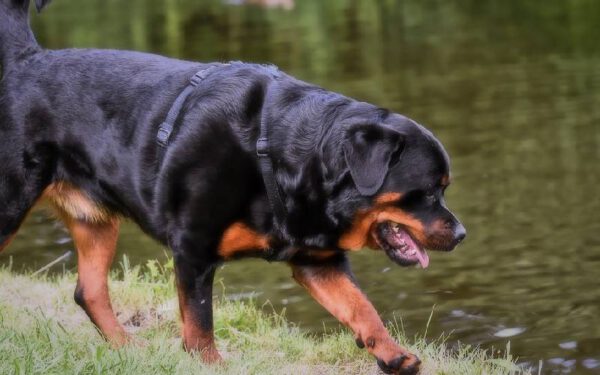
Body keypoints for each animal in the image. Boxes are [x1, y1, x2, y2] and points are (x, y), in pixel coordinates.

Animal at [0, 1, 464, 374]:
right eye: (428, 191)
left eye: (443, 189)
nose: (461, 233)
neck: (282, 155)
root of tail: (28, 60)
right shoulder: (193, 249)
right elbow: (200, 323)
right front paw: (209, 364)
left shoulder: (319, 260)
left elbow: (360, 307)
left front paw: (392, 354)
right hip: (10, 201)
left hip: (94, 220)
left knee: (90, 292)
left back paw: (129, 349)